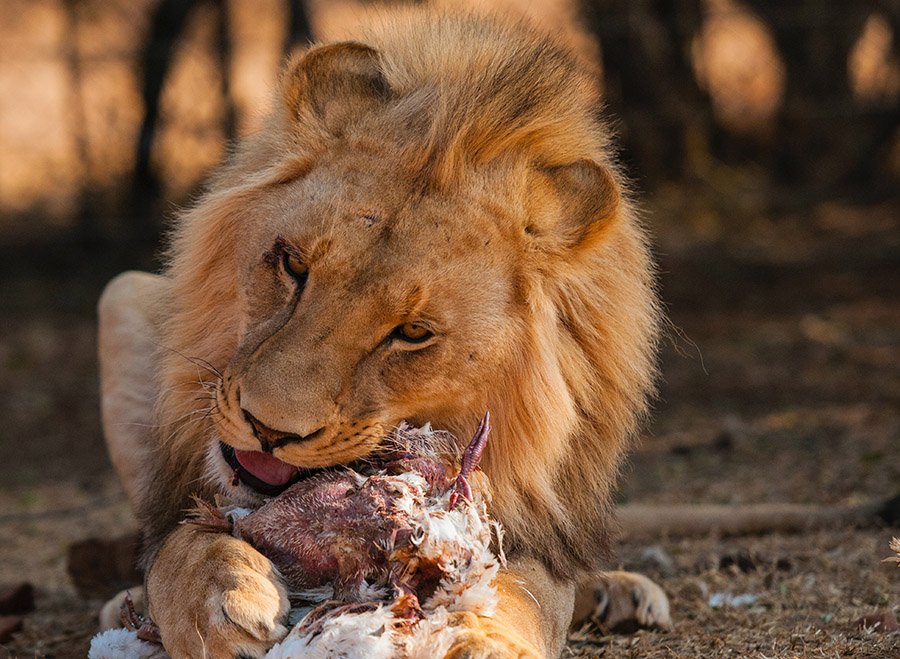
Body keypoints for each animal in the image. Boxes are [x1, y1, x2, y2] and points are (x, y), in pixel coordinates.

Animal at [98, 8, 670, 657]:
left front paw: (479, 635)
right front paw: (224, 599)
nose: (269, 431)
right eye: (293, 264)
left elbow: (519, 592)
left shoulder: (526, 529)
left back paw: (620, 590)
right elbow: (179, 548)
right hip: (121, 293)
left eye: (413, 331)